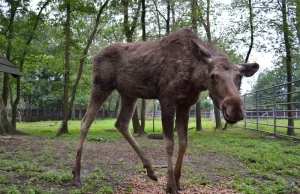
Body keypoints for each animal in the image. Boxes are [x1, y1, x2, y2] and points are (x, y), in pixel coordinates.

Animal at [72, 29, 258, 194]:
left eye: (239, 77)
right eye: (212, 76)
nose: (235, 110)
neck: (194, 78)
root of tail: (94, 56)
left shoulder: (185, 104)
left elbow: (184, 143)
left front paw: (177, 181)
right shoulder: (167, 100)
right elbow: (169, 144)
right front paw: (170, 186)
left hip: (128, 93)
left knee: (121, 124)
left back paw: (150, 169)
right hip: (101, 85)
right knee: (85, 122)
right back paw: (76, 175)